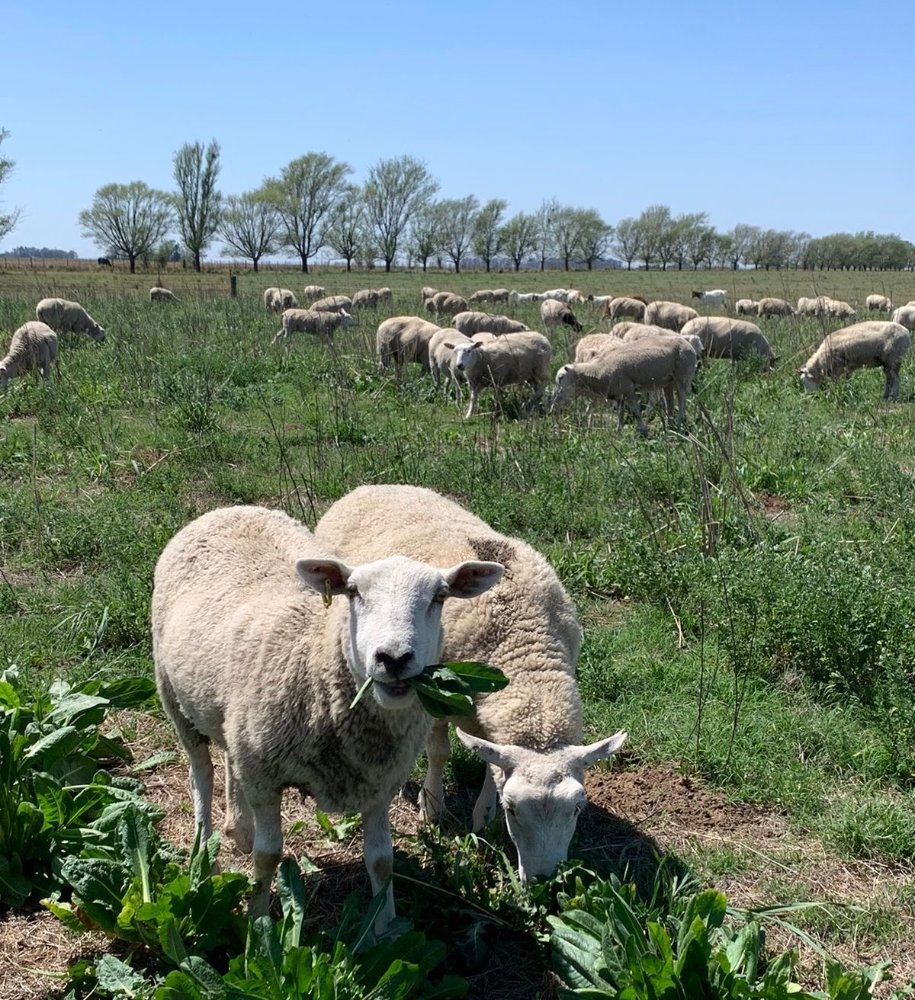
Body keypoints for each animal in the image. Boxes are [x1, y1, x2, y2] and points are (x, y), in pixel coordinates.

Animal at [151, 504, 502, 930]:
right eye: (353, 592)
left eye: (440, 596)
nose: (394, 658)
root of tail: (230, 509)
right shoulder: (265, 777)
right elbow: (268, 857)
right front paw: (258, 924)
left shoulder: (380, 782)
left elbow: (381, 860)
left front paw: (385, 926)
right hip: (173, 696)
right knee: (200, 774)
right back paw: (204, 853)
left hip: (233, 718)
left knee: (229, 756)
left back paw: (239, 827)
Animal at [314, 485, 627, 882]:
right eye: (513, 809)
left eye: (577, 808)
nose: (544, 879)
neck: (524, 647)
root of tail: (374, 485)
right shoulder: (434, 699)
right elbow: (438, 752)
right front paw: (432, 806)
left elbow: (490, 765)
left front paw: (483, 815)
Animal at [551, 336, 698, 434]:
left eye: (561, 377)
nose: (554, 405)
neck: (598, 371)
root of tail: (688, 344)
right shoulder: (619, 393)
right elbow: (620, 413)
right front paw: (619, 430)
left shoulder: (628, 388)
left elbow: (635, 411)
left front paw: (642, 430)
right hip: (668, 382)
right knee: (670, 403)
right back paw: (669, 426)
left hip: (683, 376)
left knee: (682, 401)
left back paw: (679, 424)